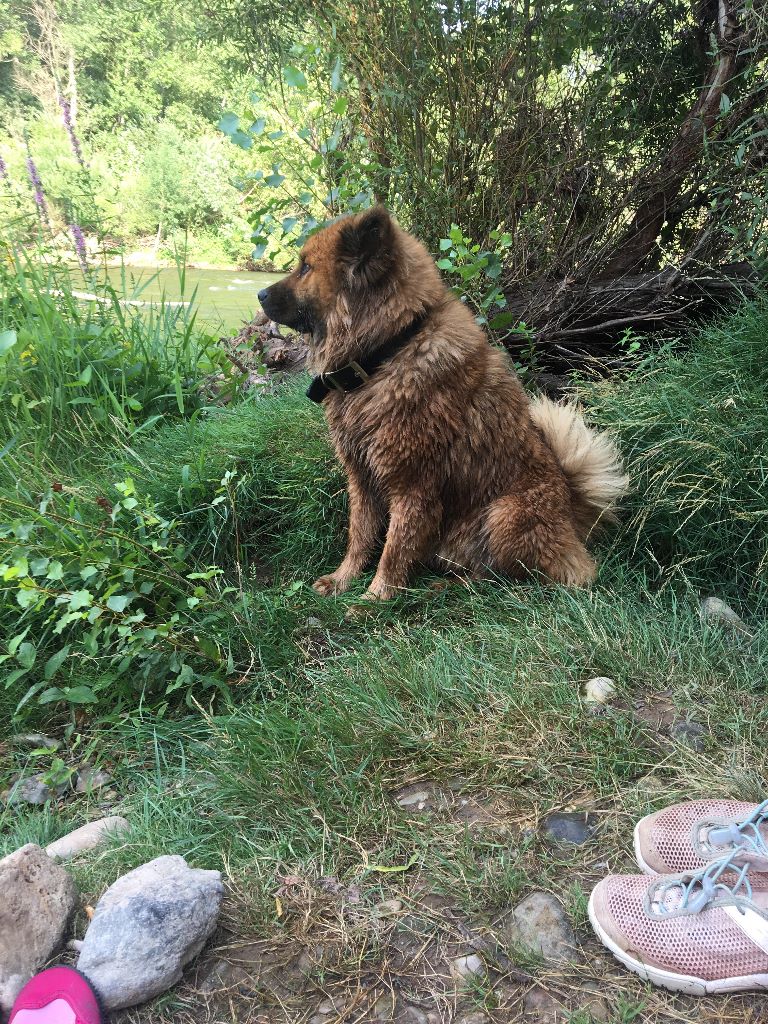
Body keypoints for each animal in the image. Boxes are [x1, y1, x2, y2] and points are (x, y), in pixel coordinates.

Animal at [258, 206, 628, 601]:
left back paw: (448, 588)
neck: (387, 352)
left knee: (507, 579)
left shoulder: (414, 488)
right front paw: (343, 579)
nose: (260, 293)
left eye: (305, 267)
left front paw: (374, 599)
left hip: (504, 514)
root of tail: (573, 517)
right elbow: (359, 535)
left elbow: (394, 549)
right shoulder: (361, 478)